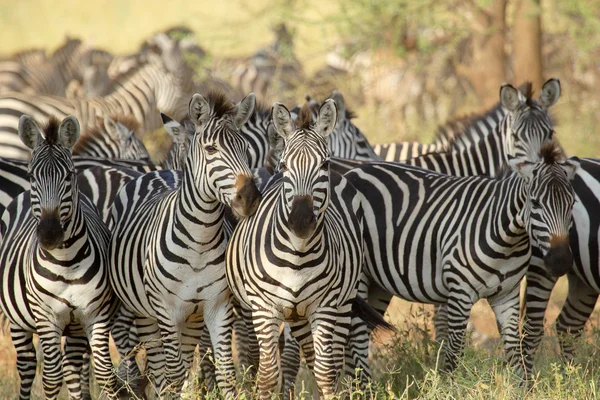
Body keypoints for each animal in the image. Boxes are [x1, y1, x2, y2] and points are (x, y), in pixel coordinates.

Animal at [0, 114, 118, 398]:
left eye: (69, 176)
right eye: (32, 175)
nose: (49, 233)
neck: (67, 264)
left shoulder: (95, 315)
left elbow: (105, 375)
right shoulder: (47, 319)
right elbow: (52, 379)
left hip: (75, 328)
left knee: (73, 370)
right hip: (17, 321)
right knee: (27, 365)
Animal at [107, 91, 260, 396]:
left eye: (246, 150)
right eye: (211, 150)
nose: (250, 198)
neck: (199, 242)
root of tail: (159, 172)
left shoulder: (217, 306)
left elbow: (226, 373)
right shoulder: (166, 310)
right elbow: (173, 374)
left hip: (192, 318)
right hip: (144, 312)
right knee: (158, 370)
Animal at [225, 98, 366, 398]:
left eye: (324, 165)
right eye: (285, 166)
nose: (301, 220)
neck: (297, 255)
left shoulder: (325, 306)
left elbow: (326, 373)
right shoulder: (263, 308)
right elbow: (268, 375)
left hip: (342, 303)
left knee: (330, 360)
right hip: (294, 315)